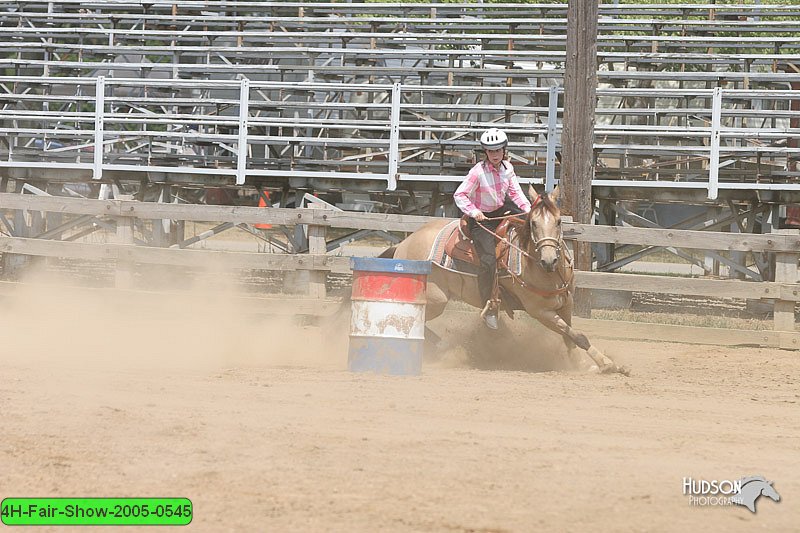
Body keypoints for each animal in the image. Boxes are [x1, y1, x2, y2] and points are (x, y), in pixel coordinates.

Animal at [384, 186, 628, 374]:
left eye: (559, 222)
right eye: (533, 224)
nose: (549, 260)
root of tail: (404, 244)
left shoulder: (566, 303)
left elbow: (570, 337)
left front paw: (582, 365)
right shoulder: (540, 312)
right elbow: (578, 336)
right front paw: (608, 365)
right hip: (436, 300)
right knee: (413, 319)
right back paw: (445, 348)